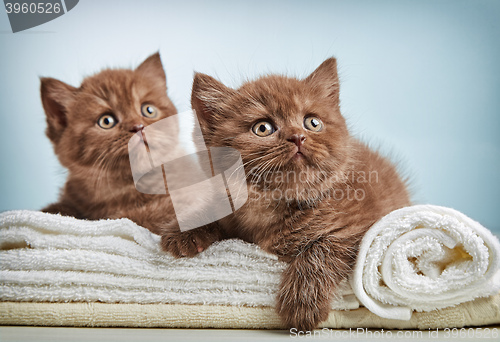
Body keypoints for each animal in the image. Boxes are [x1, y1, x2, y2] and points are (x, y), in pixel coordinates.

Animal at [162, 58, 412, 332]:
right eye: (262, 128)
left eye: (312, 123)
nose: (297, 137)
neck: (273, 204)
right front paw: (185, 230)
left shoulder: (365, 225)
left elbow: (323, 246)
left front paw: (302, 301)